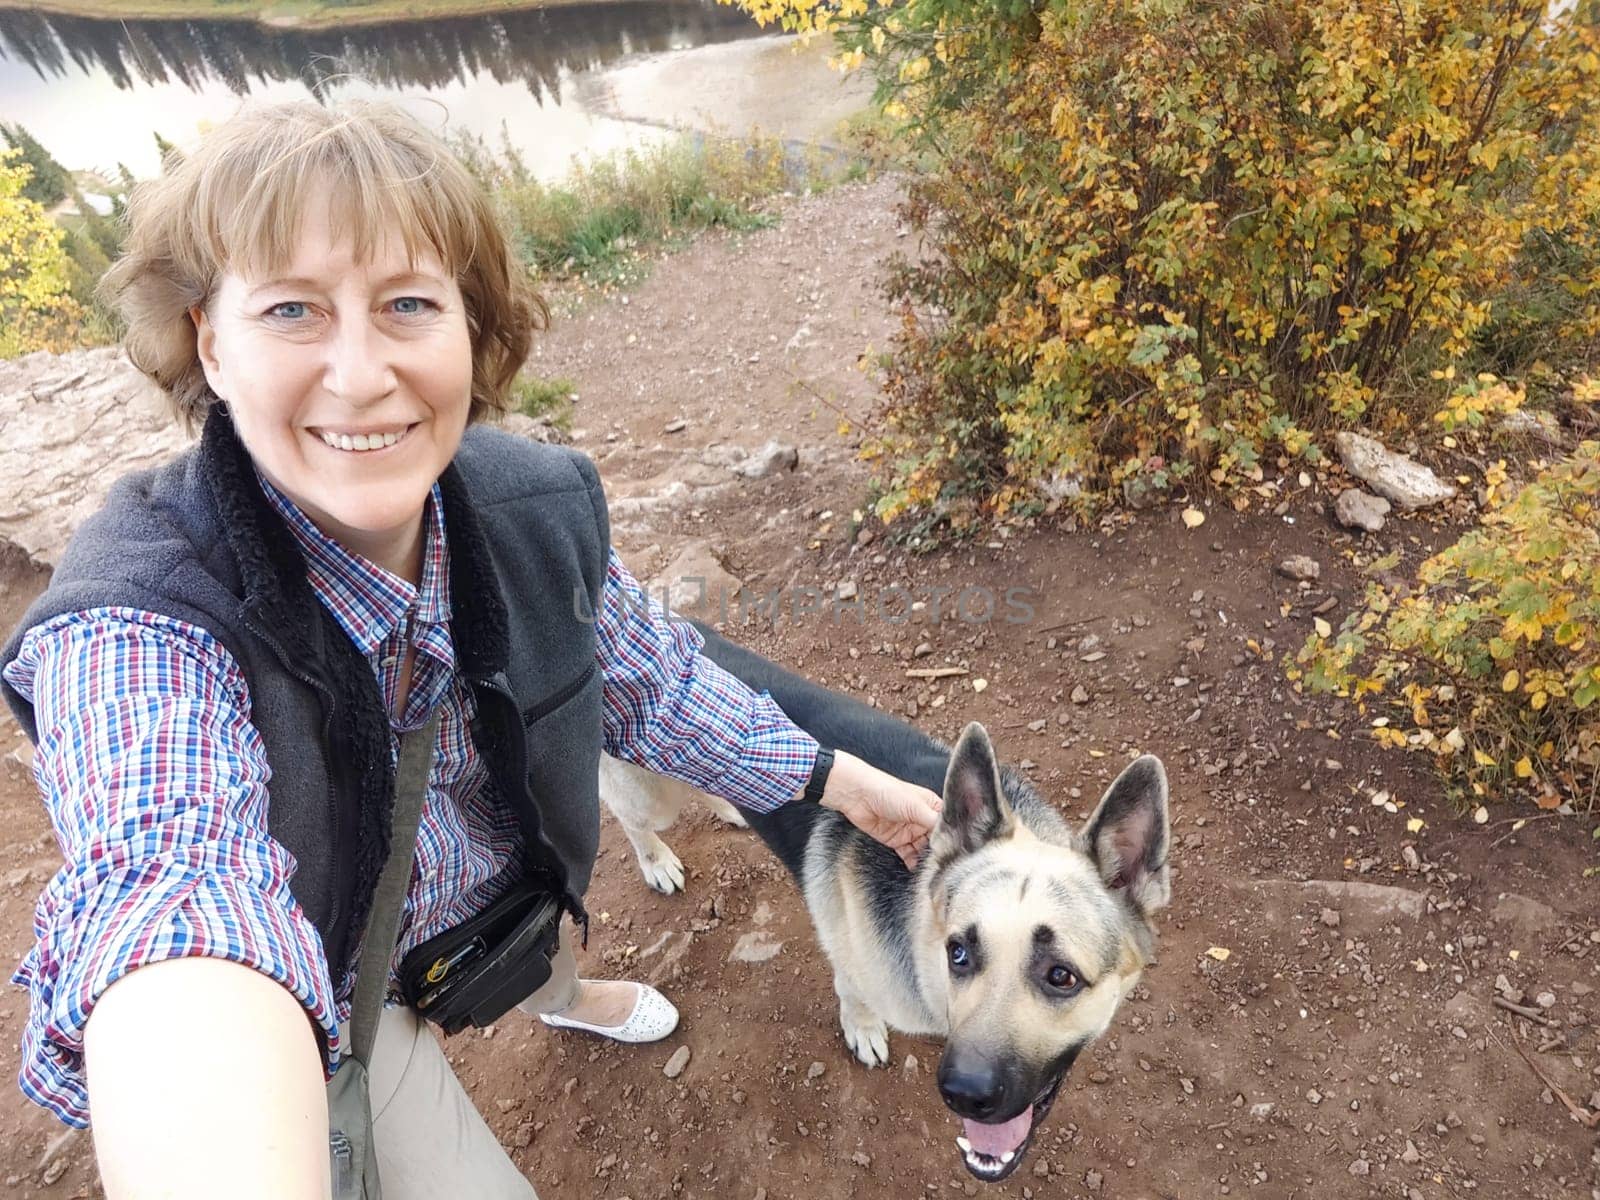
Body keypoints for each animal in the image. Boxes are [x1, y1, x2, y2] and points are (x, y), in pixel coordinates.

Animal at [601, 624, 1177, 1190]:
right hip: (650, 791)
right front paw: (863, 1031)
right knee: (631, 817)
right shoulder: (854, 963)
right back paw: (656, 861)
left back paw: (728, 803)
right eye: (959, 953)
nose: (963, 1093)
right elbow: (853, 997)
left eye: (1062, 976)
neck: (921, 924)